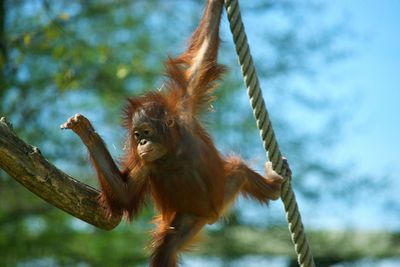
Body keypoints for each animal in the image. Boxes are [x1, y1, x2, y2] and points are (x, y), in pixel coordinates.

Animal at [61, 1, 290, 266]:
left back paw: (272, 187)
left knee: (239, 170)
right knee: (167, 248)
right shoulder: (146, 163)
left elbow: (204, 52)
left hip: (225, 187)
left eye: (146, 131)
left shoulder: (185, 109)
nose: (142, 142)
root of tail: (212, 214)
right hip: (188, 218)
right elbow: (124, 195)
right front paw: (86, 133)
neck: (174, 150)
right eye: (136, 135)